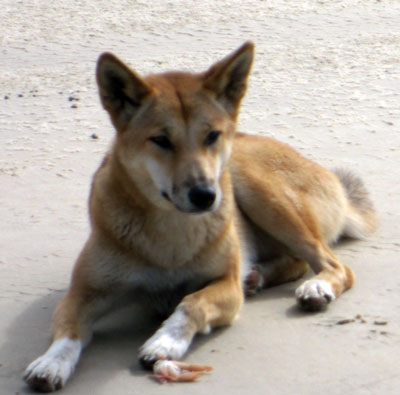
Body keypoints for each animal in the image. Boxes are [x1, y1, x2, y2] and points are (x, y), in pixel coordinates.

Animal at [24, 44, 376, 392]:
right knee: (296, 261)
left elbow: (192, 301)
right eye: (161, 140)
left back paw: (316, 286)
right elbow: (68, 328)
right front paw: (51, 362)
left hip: (259, 189)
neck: (170, 229)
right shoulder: (84, 292)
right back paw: (259, 276)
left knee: (331, 264)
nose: (205, 195)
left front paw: (165, 341)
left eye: (212, 136)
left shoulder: (226, 285)